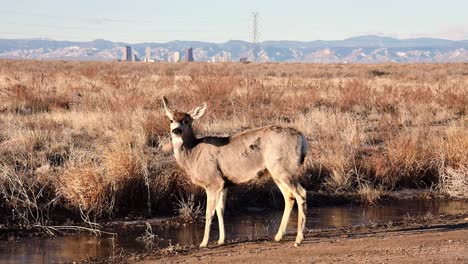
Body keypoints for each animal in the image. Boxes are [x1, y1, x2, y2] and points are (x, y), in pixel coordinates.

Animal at [163, 96, 308, 248]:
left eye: (186, 120)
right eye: (171, 120)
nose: (176, 131)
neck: (193, 154)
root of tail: (302, 138)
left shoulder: (213, 181)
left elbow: (209, 212)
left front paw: (203, 243)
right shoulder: (224, 183)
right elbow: (220, 210)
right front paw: (221, 240)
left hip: (284, 168)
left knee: (301, 193)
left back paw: (298, 239)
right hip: (276, 172)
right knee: (289, 197)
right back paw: (279, 236)